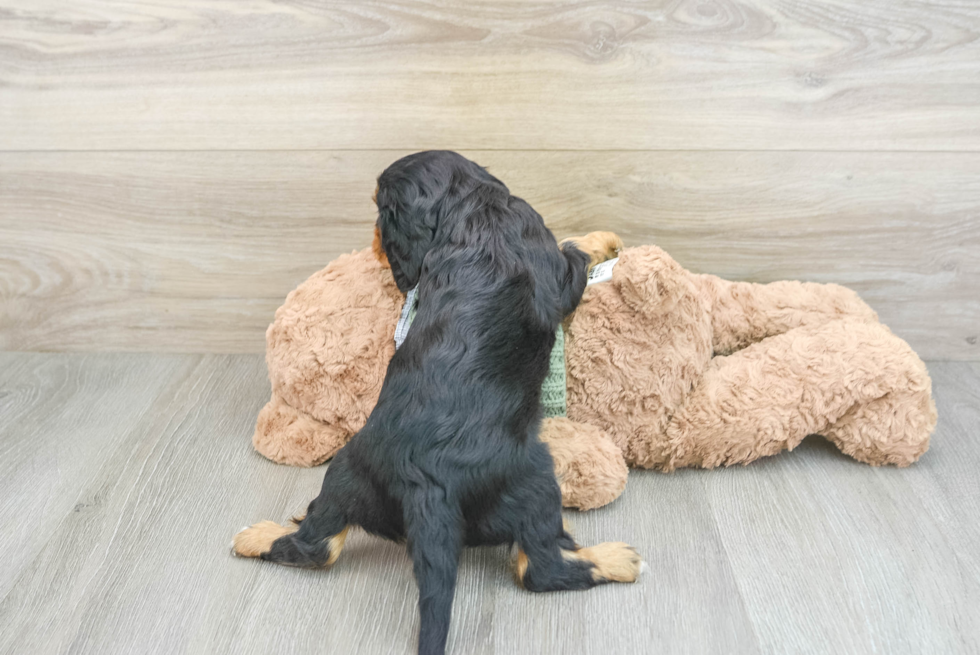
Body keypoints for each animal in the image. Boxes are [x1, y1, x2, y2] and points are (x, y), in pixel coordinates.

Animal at [233, 150, 640, 655]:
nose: (373, 245)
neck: (471, 207)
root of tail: (423, 482)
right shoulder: (555, 266)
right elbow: (575, 252)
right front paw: (602, 239)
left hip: (348, 473)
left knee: (318, 546)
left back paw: (264, 533)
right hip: (534, 483)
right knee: (538, 568)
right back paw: (616, 559)